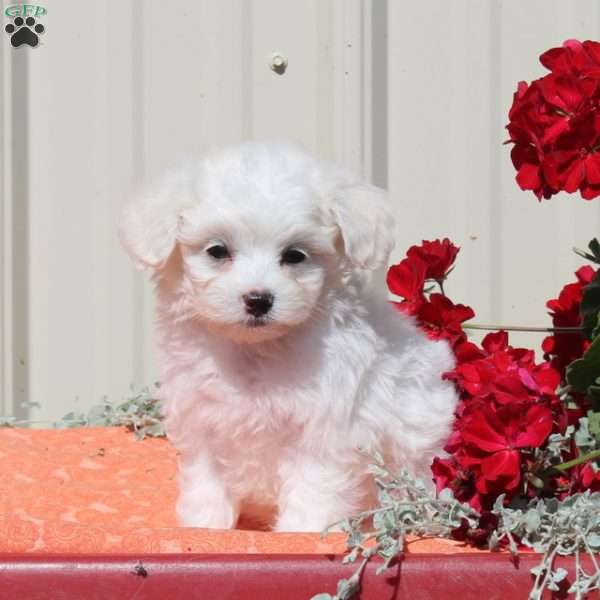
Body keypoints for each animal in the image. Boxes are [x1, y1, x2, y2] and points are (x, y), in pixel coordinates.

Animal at [119, 139, 458, 528]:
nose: (258, 300)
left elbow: (313, 491)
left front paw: (302, 530)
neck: (255, 351)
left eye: (295, 255)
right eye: (217, 251)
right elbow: (207, 485)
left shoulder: (324, 430)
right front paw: (203, 526)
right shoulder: (202, 423)